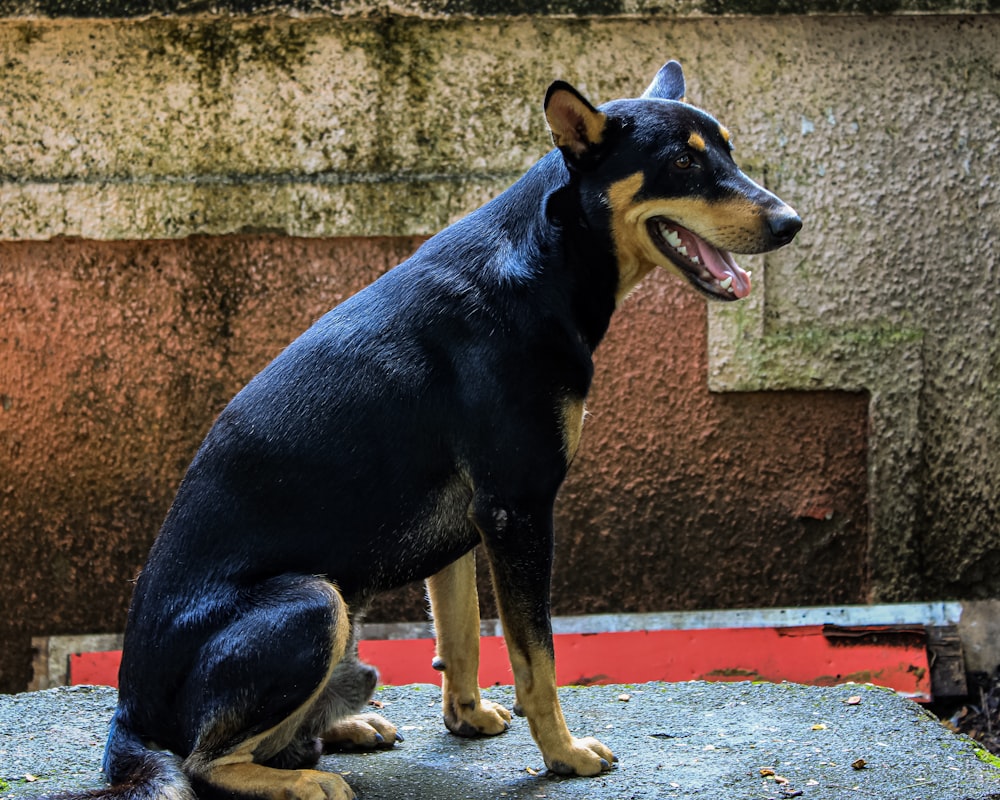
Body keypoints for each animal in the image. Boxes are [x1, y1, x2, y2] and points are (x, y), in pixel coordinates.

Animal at [92, 57, 796, 800]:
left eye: (728, 151)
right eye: (682, 164)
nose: (792, 223)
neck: (545, 260)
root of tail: (127, 714)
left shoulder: (466, 529)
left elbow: (461, 634)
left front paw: (467, 717)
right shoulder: (517, 510)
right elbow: (535, 659)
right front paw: (563, 754)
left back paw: (343, 727)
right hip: (315, 602)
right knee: (205, 760)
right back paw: (305, 779)